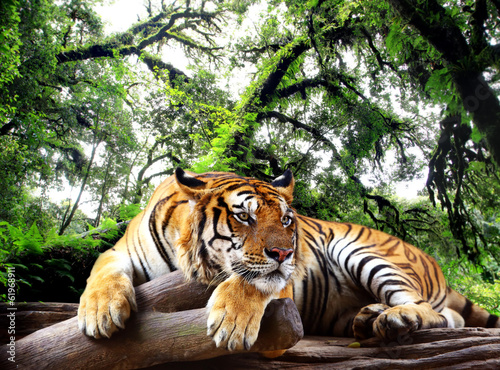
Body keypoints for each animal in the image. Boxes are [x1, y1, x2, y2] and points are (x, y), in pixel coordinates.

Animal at [78, 169, 500, 352]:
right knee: (449, 316)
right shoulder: (119, 251)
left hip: (363, 252)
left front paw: (232, 324)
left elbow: (251, 280)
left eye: (285, 220)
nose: (284, 253)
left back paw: (396, 318)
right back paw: (368, 317)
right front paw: (100, 312)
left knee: (435, 312)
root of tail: (435, 263)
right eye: (244, 216)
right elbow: (101, 270)